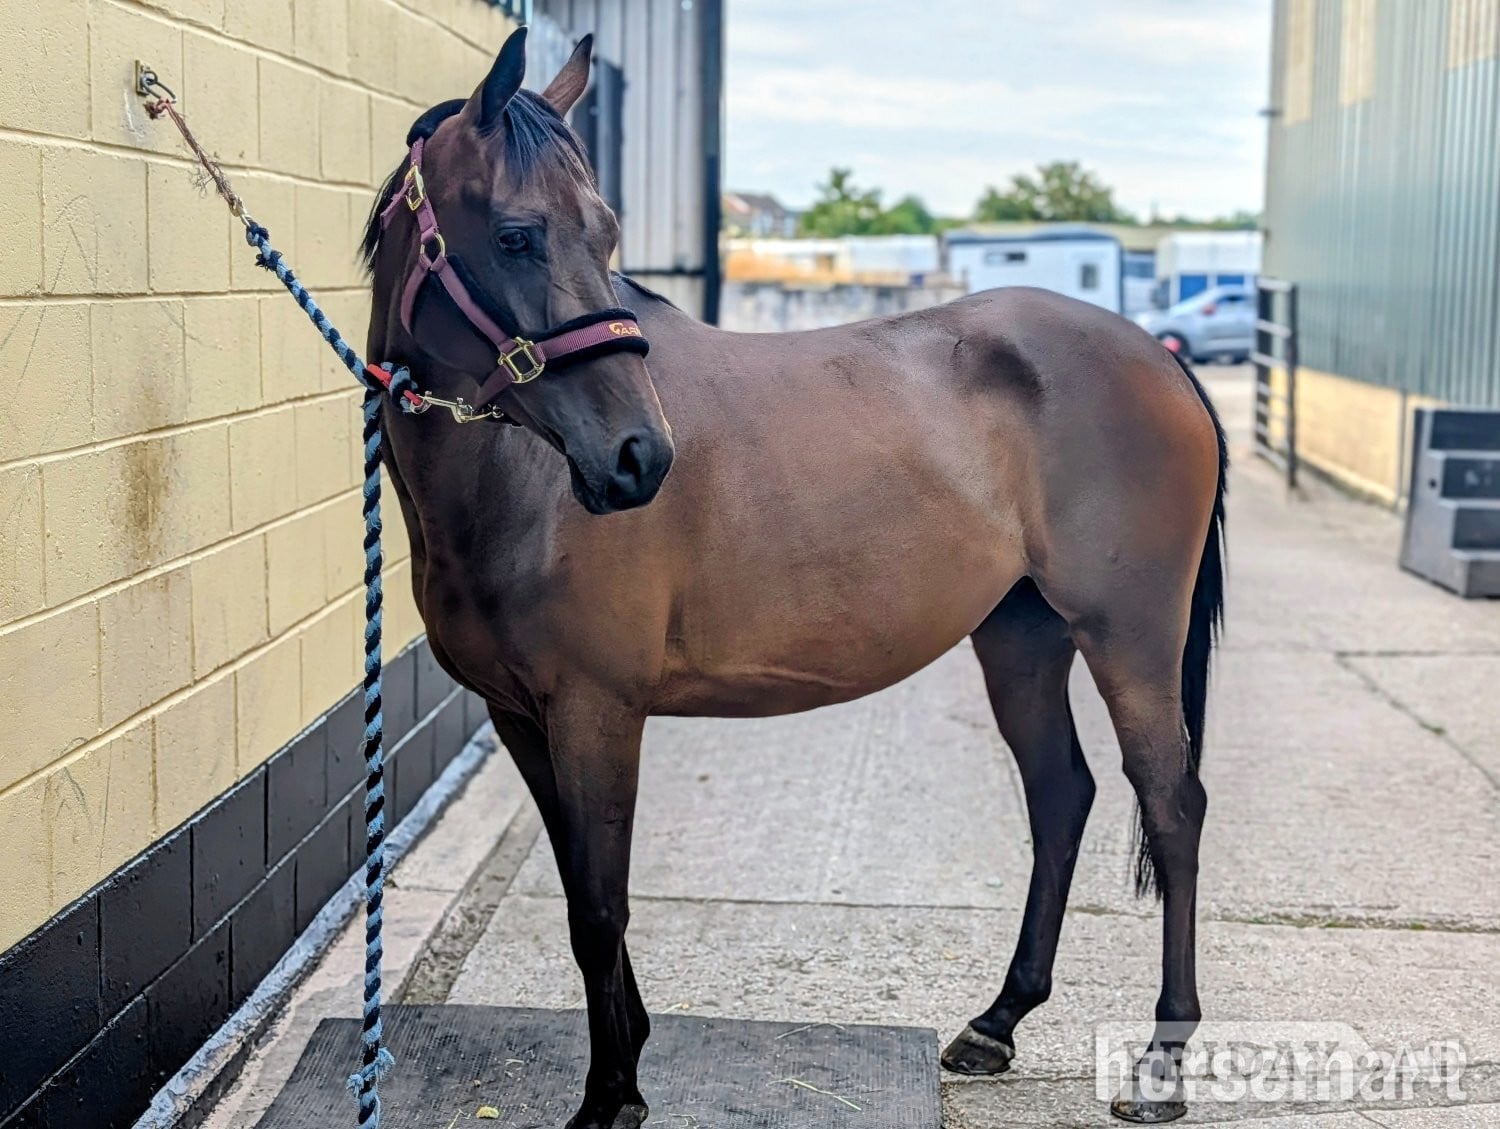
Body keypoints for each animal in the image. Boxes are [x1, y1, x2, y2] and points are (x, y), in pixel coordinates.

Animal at [363, 27, 1226, 1129]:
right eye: (516, 236)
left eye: (605, 233)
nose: (640, 457)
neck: (523, 482)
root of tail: (1159, 357)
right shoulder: (523, 716)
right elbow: (580, 891)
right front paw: (629, 1058)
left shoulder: (596, 709)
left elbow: (600, 905)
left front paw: (611, 1097)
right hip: (1021, 635)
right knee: (1060, 795)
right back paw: (998, 1021)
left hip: (1130, 633)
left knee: (1170, 804)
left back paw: (1162, 1061)